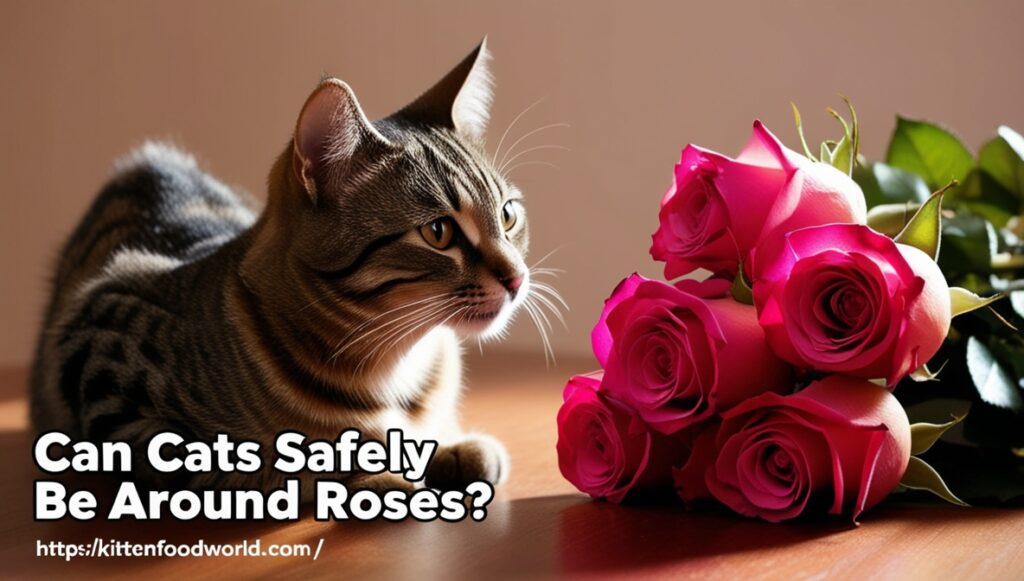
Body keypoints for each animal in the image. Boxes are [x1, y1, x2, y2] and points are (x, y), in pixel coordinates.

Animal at [28, 39, 540, 495]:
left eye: (508, 215)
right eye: (438, 232)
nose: (516, 278)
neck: (396, 369)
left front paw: (450, 447)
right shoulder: (106, 359)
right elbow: (272, 464)